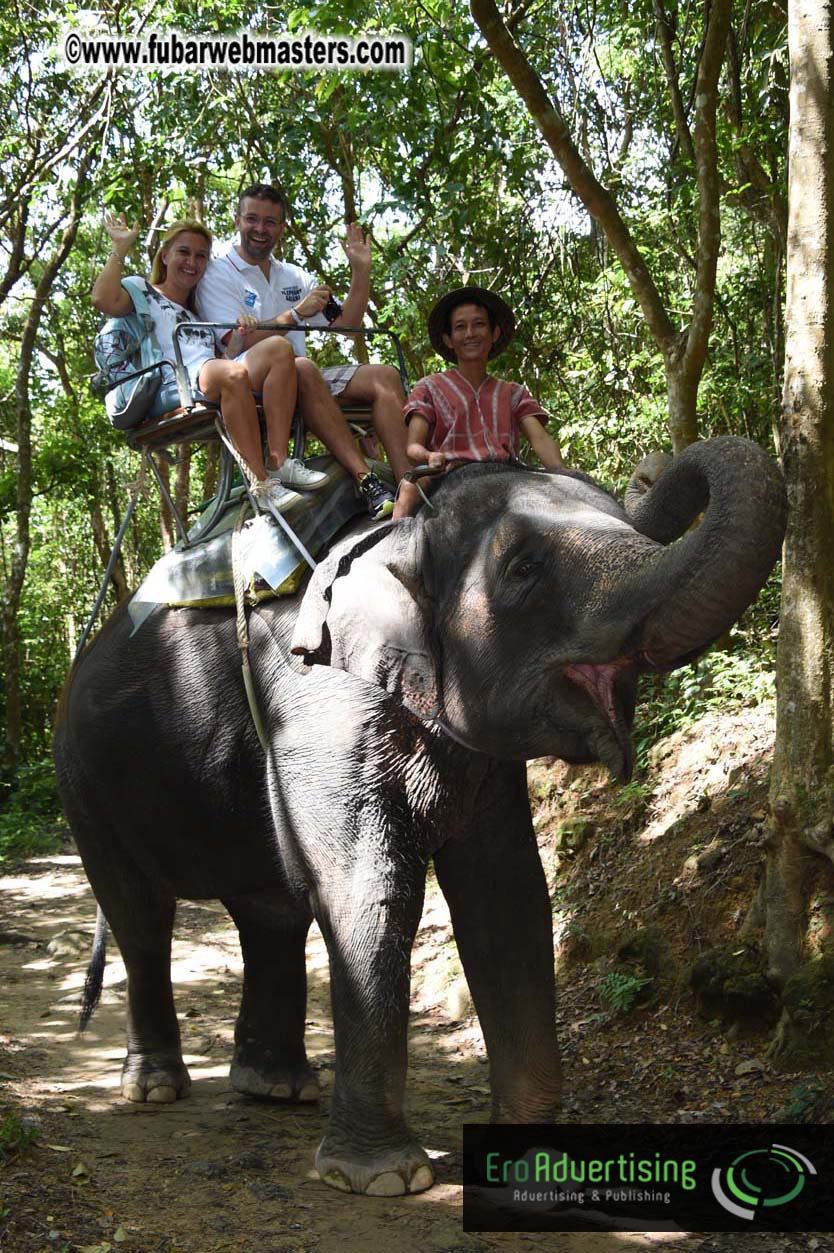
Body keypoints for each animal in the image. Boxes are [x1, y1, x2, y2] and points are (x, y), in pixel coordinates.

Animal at [53, 435, 785, 1197]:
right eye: (523, 569)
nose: (650, 470)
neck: (402, 536)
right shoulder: (317, 702)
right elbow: (370, 894)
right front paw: (384, 1179)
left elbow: (507, 895)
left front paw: (534, 1169)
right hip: (82, 782)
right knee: (141, 914)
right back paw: (155, 1088)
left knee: (269, 913)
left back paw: (276, 1088)